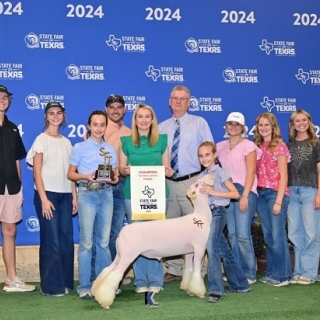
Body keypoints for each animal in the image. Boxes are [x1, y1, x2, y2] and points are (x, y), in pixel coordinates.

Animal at [90, 174, 215, 308]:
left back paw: (97, 292)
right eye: (197, 184)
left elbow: (189, 270)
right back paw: (105, 302)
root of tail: (122, 232)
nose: (211, 175)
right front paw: (199, 292)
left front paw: (188, 289)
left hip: (120, 254)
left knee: (108, 270)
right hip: (128, 255)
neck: (200, 216)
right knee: (115, 274)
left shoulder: (189, 252)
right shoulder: (199, 248)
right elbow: (196, 270)